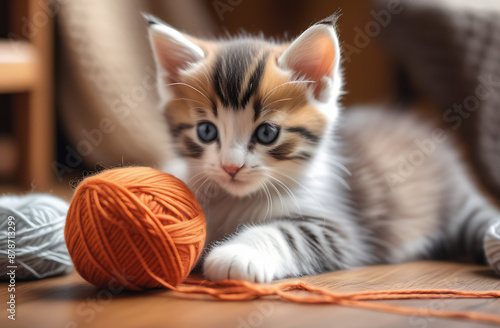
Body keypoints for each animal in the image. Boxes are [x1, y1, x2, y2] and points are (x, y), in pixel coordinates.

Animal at [145, 14, 500, 284]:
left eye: (267, 133)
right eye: (206, 131)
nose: (231, 167)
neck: (238, 201)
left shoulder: (338, 228)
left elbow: (287, 234)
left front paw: (236, 254)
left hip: (455, 204)